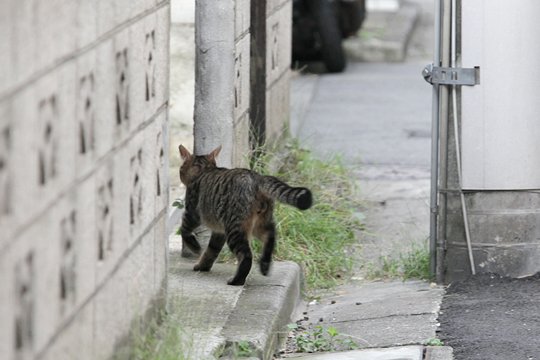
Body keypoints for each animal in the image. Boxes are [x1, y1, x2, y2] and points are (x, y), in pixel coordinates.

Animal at [178, 145, 312, 286]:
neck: (204, 170)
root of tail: (258, 178)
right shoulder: (219, 232)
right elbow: (211, 250)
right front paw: (203, 266)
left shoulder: (192, 213)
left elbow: (184, 231)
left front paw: (195, 247)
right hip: (261, 222)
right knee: (270, 237)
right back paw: (264, 265)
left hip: (236, 228)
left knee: (247, 256)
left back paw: (237, 280)